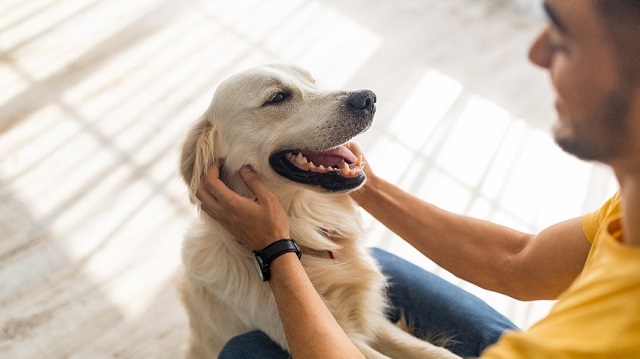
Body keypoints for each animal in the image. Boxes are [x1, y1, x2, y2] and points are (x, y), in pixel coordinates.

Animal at [180, 64, 458, 359]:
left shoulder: (371, 318)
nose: (368, 98)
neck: (307, 236)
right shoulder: (341, 337)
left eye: (312, 81)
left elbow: (435, 352)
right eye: (277, 97)